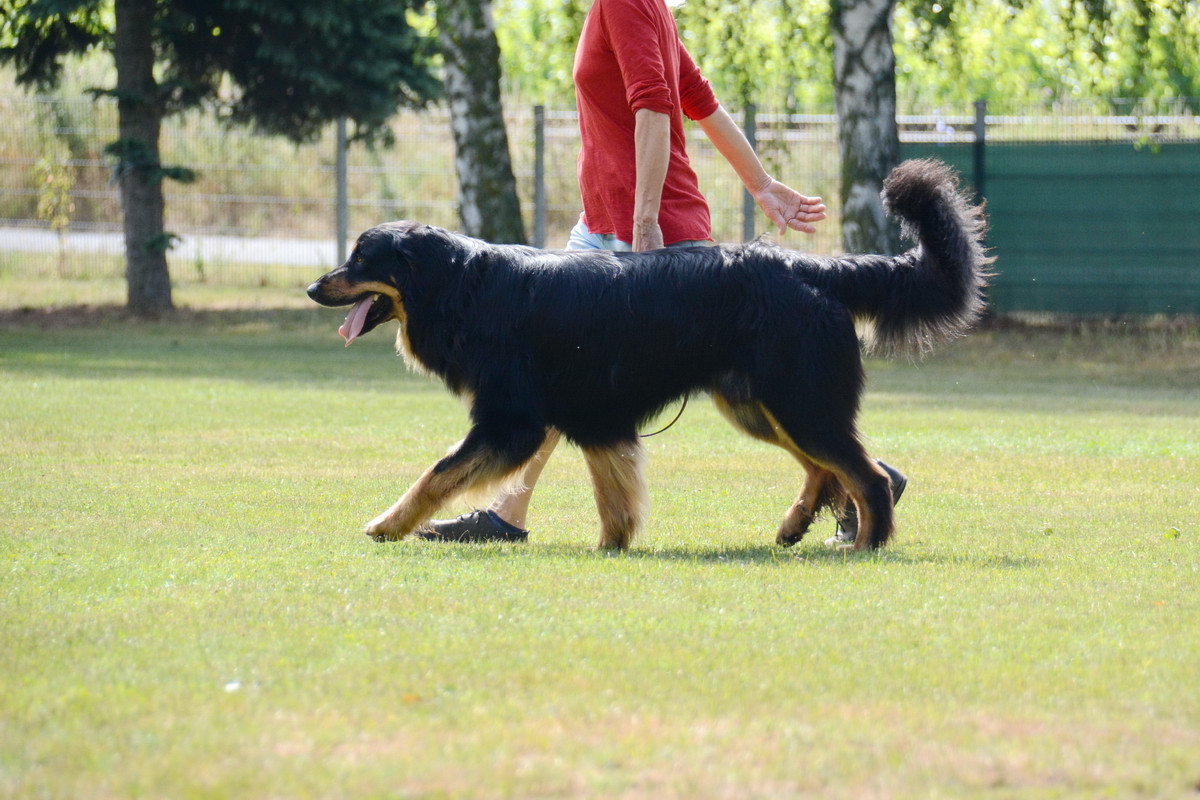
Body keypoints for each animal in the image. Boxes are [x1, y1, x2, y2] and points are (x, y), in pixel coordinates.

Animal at [309, 160, 993, 554]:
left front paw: (388, 524)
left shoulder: (513, 420)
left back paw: (867, 544)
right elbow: (613, 490)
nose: (315, 287)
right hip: (759, 403)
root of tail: (813, 268)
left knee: (865, 475)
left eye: (361, 259)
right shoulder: (594, 417)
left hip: (797, 400)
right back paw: (796, 526)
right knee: (828, 469)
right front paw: (614, 543)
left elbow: (436, 473)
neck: (463, 287)